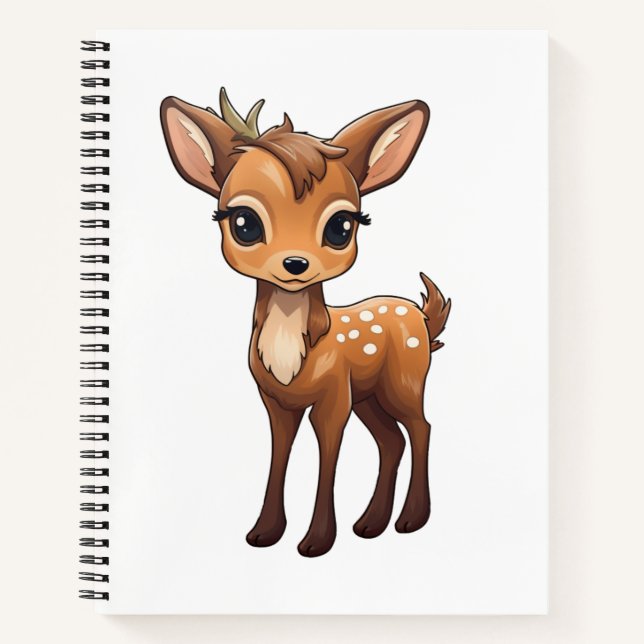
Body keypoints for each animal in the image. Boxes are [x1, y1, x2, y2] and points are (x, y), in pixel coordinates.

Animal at [160, 88, 451, 557]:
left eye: (341, 226)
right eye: (243, 222)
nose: (295, 263)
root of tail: (421, 317)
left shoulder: (333, 399)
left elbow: (326, 458)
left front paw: (316, 541)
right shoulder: (276, 402)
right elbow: (279, 455)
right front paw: (264, 532)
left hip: (403, 382)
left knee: (420, 428)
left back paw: (411, 519)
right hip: (369, 397)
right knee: (391, 440)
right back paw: (370, 523)